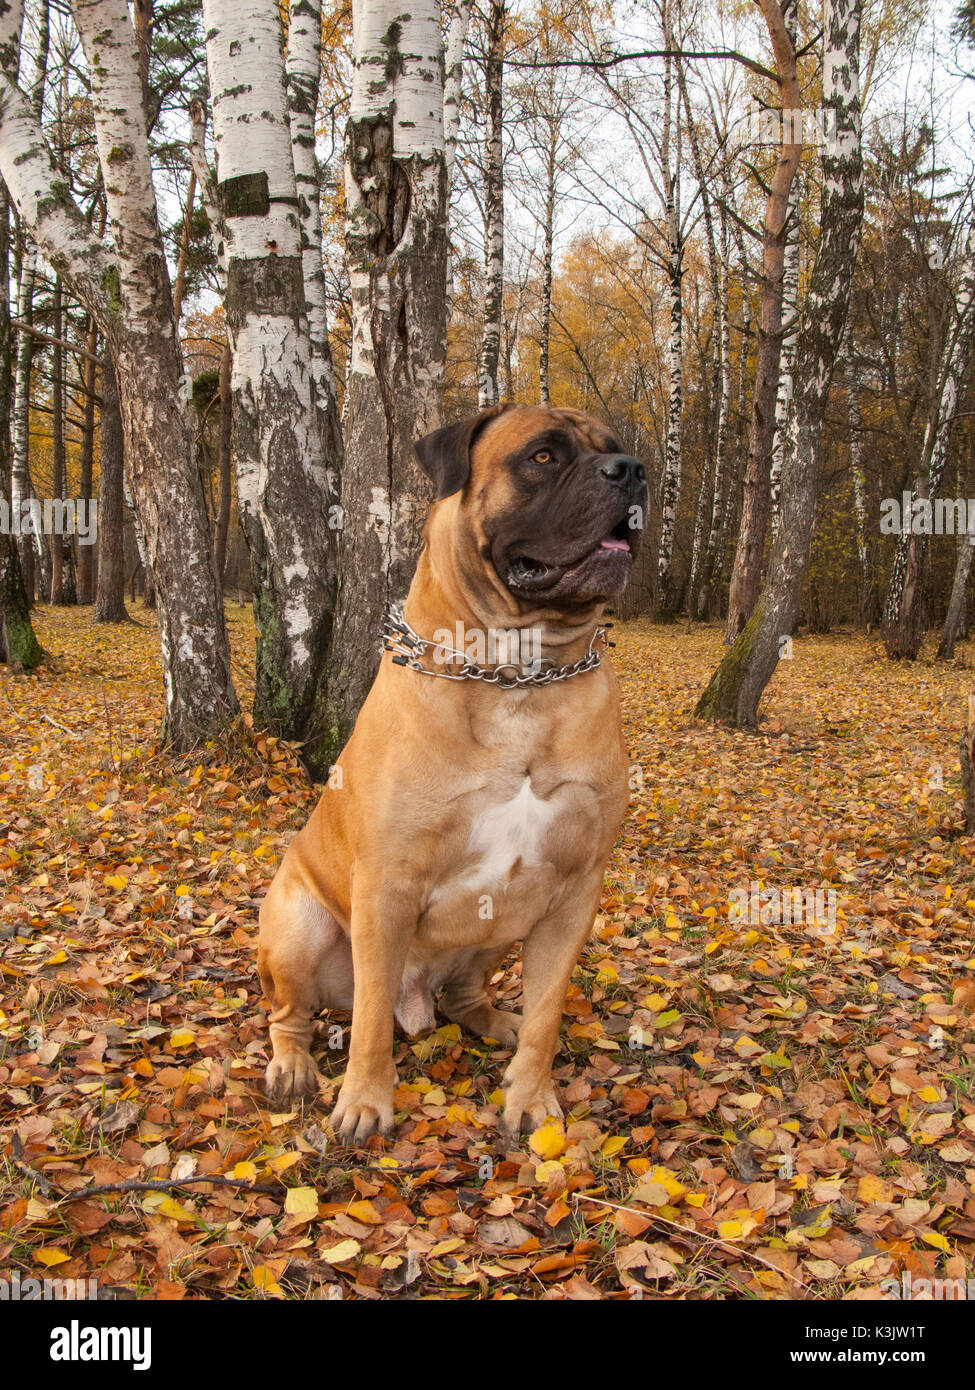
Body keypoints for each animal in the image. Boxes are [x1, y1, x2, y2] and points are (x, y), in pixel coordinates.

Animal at [257, 403, 645, 1139]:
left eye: (620, 449)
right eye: (543, 456)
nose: (633, 471)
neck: (520, 676)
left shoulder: (574, 889)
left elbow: (549, 1012)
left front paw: (531, 1097)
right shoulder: (387, 886)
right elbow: (370, 1024)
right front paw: (365, 1102)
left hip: (504, 921)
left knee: (464, 996)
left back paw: (497, 1021)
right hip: (298, 925)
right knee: (294, 1014)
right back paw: (293, 1066)